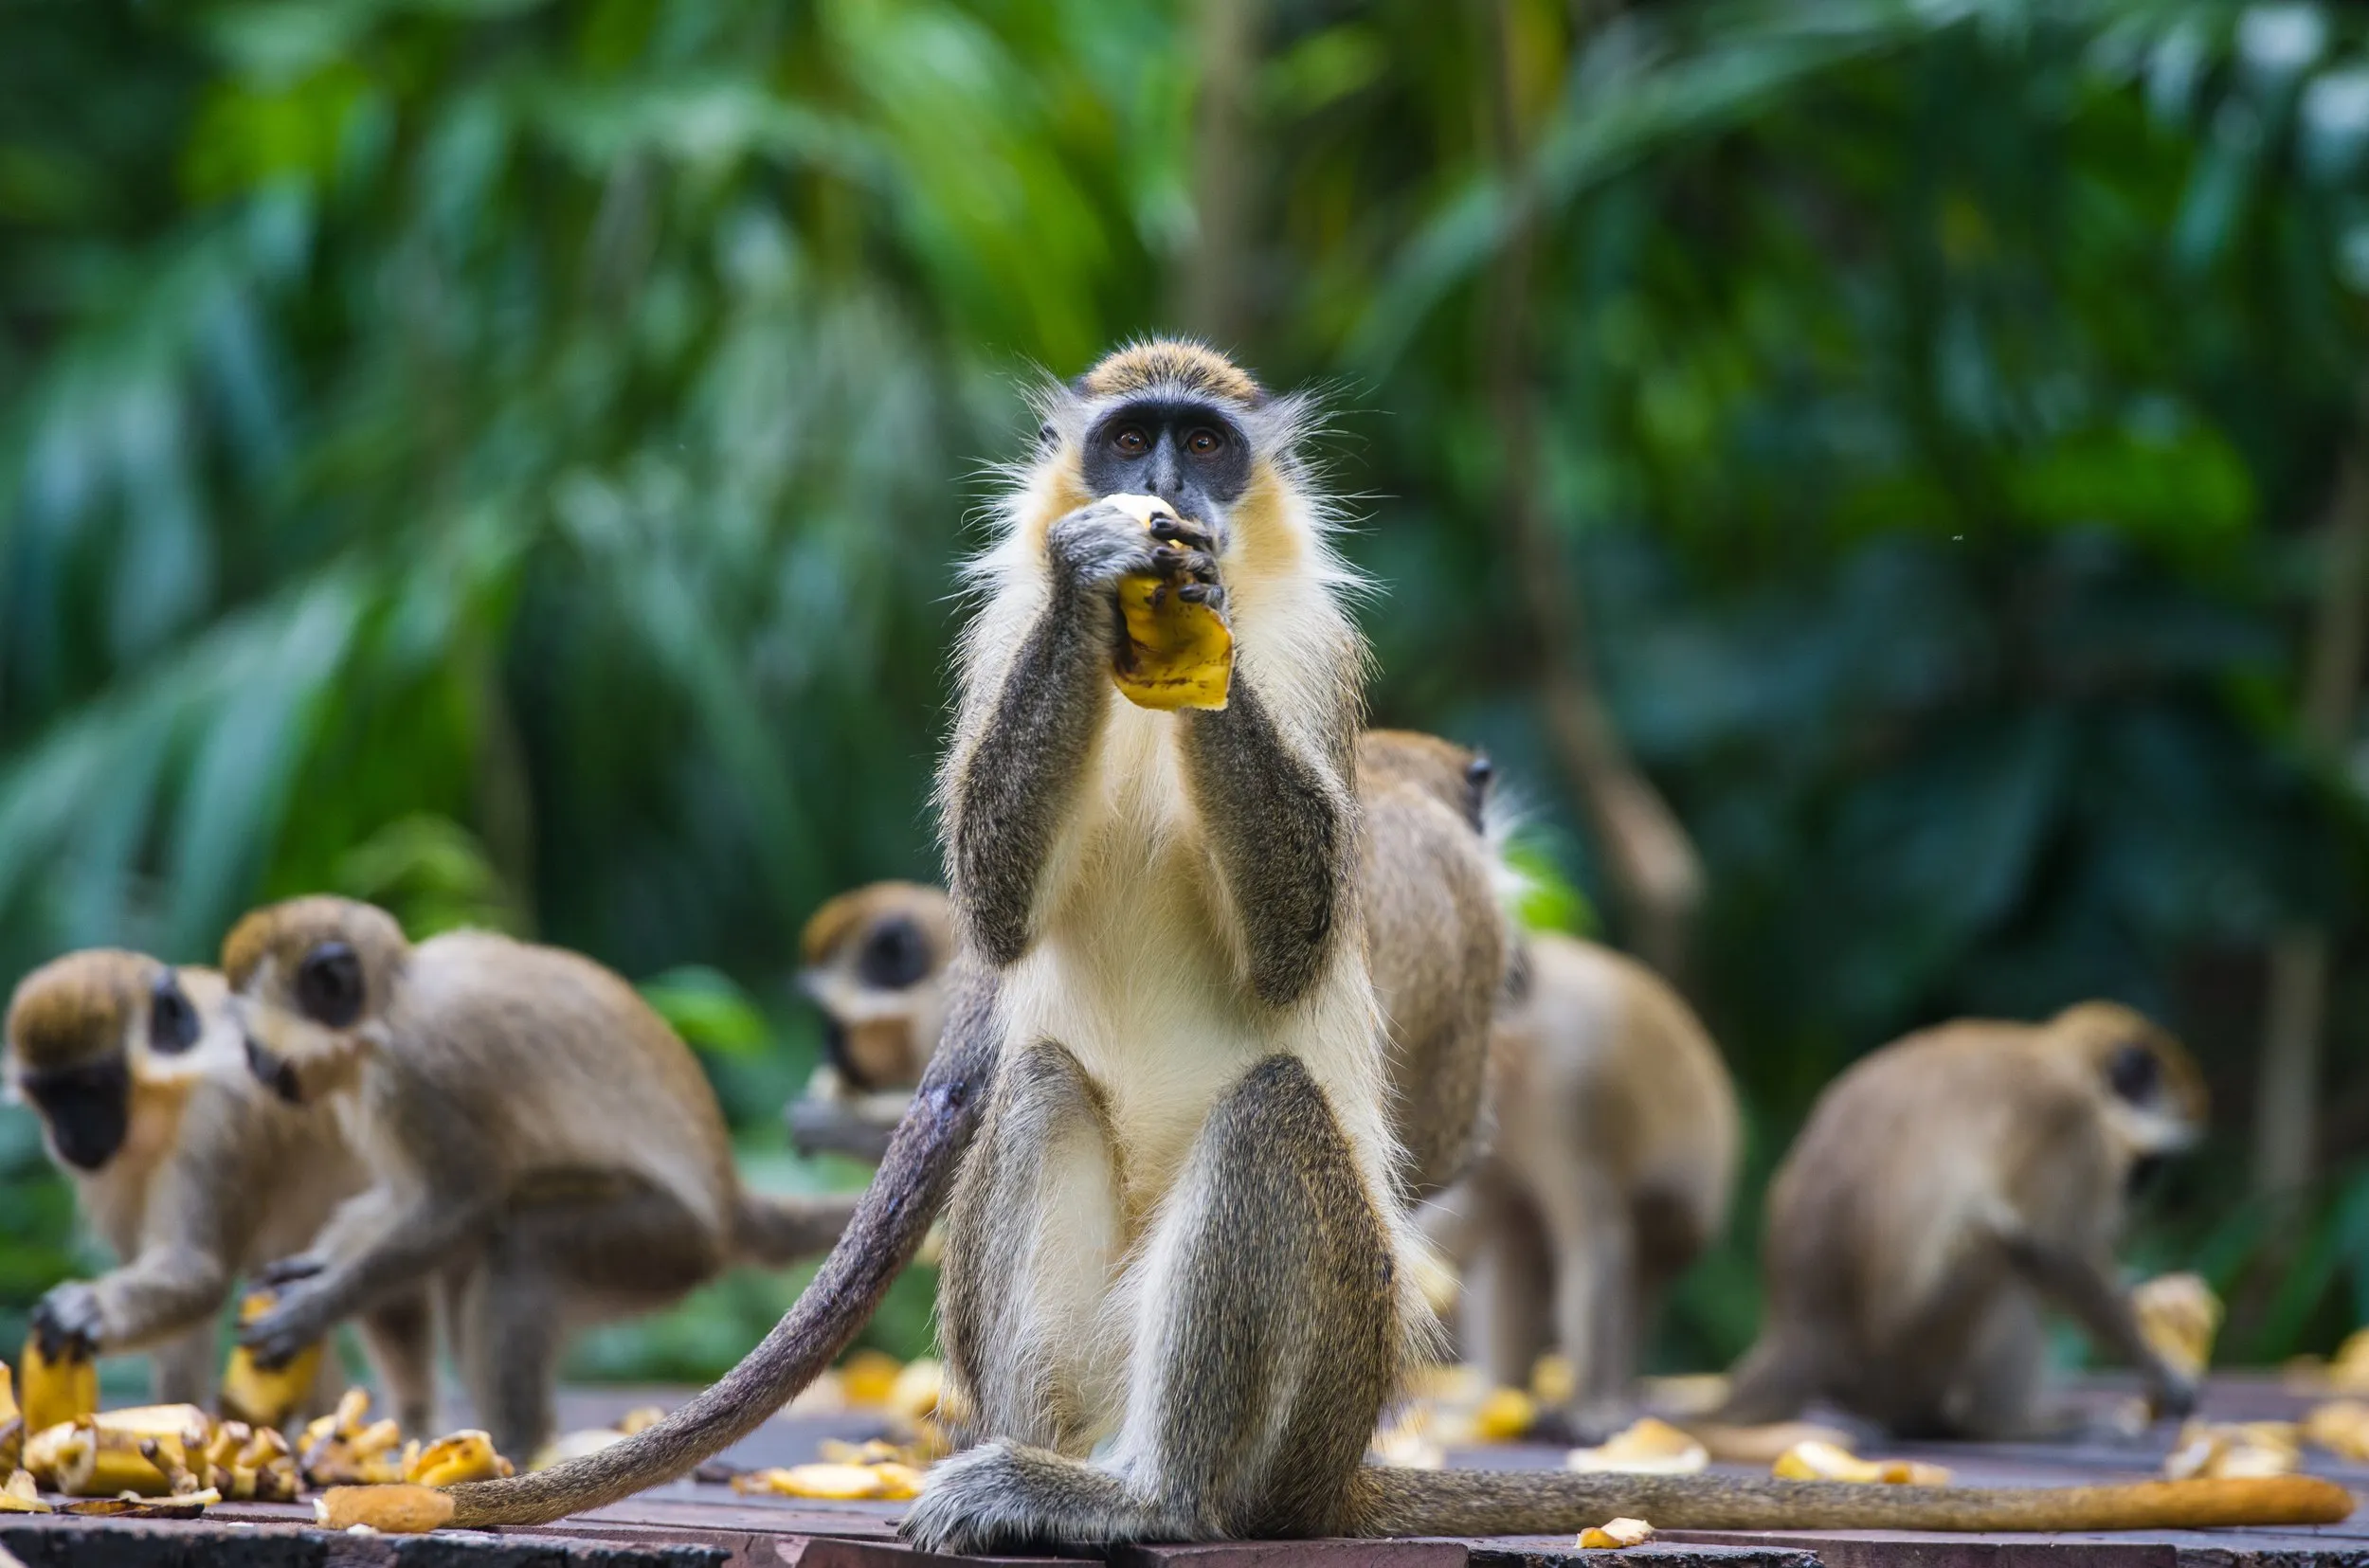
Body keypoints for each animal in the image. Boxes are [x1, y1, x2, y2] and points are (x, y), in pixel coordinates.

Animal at [4, 950, 436, 1430]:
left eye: (90, 1088)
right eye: (49, 1095)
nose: (69, 1137)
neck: (173, 1089)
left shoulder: (218, 1113)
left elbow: (197, 1271)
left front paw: (89, 1309)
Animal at [221, 898, 861, 1460]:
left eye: (252, 1039)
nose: (252, 1064)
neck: (392, 1005)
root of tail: (727, 1201)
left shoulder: (422, 1075)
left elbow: (458, 1205)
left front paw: (314, 1307)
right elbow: (403, 1202)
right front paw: (314, 1270)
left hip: (662, 1245)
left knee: (520, 1247)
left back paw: (513, 1447)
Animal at [1426, 932, 1740, 1441]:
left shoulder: (1573, 1086)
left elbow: (1593, 1240)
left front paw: (1591, 1409)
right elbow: (1475, 1206)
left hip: (1684, 1225)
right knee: (1514, 1229)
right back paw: (1502, 1394)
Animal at [1718, 1001, 2208, 1441]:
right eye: (2147, 1168)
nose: (2136, 1190)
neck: (2060, 1060)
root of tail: (1801, 1334)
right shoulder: (2068, 1123)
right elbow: (2056, 1255)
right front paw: (2161, 1372)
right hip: (1907, 1363)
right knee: (2000, 1253)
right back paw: (2006, 1426)